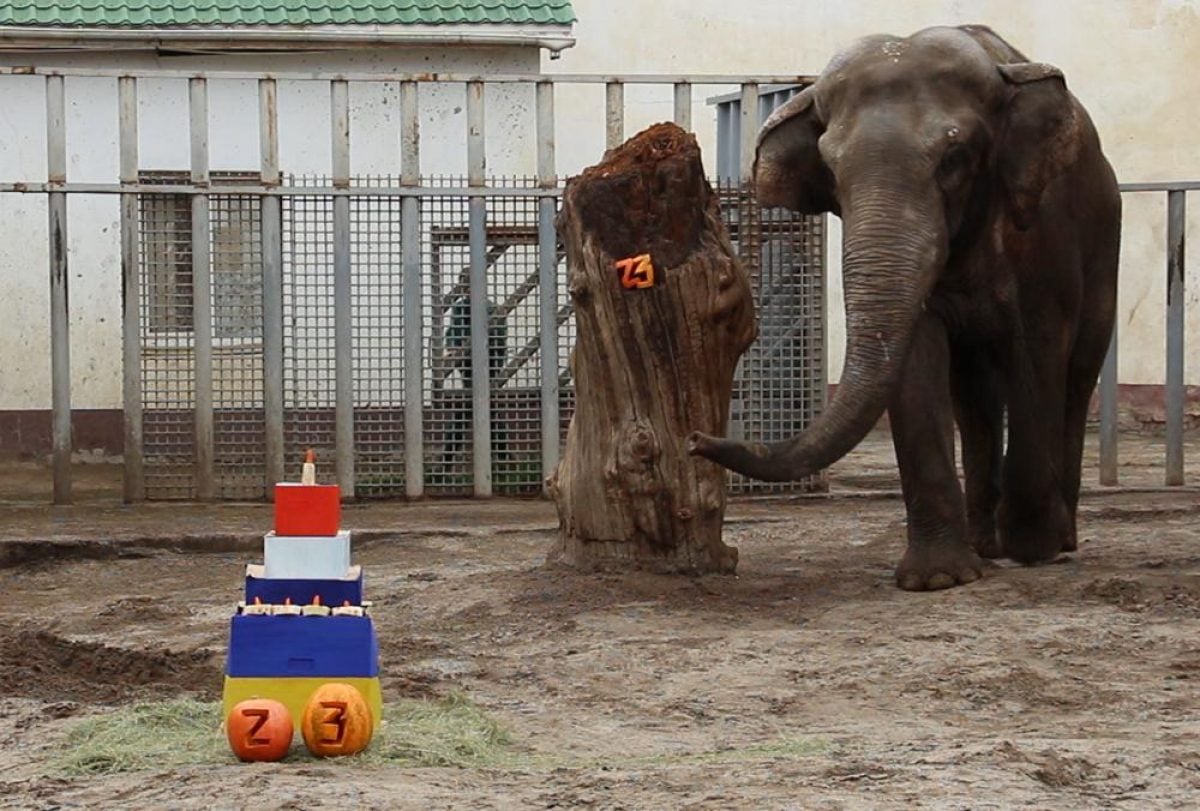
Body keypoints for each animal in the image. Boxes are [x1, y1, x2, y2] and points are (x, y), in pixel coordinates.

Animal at [691, 25, 1118, 592]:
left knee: (1075, 374)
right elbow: (915, 361)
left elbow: (1038, 350)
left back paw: (1054, 540)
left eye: (954, 158)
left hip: (1104, 248)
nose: (695, 438)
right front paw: (938, 579)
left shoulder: (1045, 232)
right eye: (831, 168)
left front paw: (1031, 549)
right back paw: (985, 543)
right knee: (973, 393)